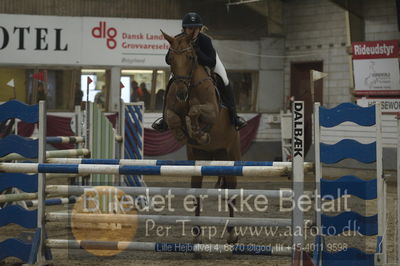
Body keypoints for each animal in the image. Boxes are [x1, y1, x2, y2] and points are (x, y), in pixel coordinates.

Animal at [161, 30, 239, 243]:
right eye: (171, 59)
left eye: (190, 57)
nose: (180, 93)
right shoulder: (171, 111)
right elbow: (173, 118)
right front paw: (183, 133)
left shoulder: (212, 111)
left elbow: (196, 111)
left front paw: (198, 131)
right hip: (199, 159)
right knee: (196, 191)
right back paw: (196, 234)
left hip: (231, 154)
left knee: (232, 190)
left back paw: (232, 233)